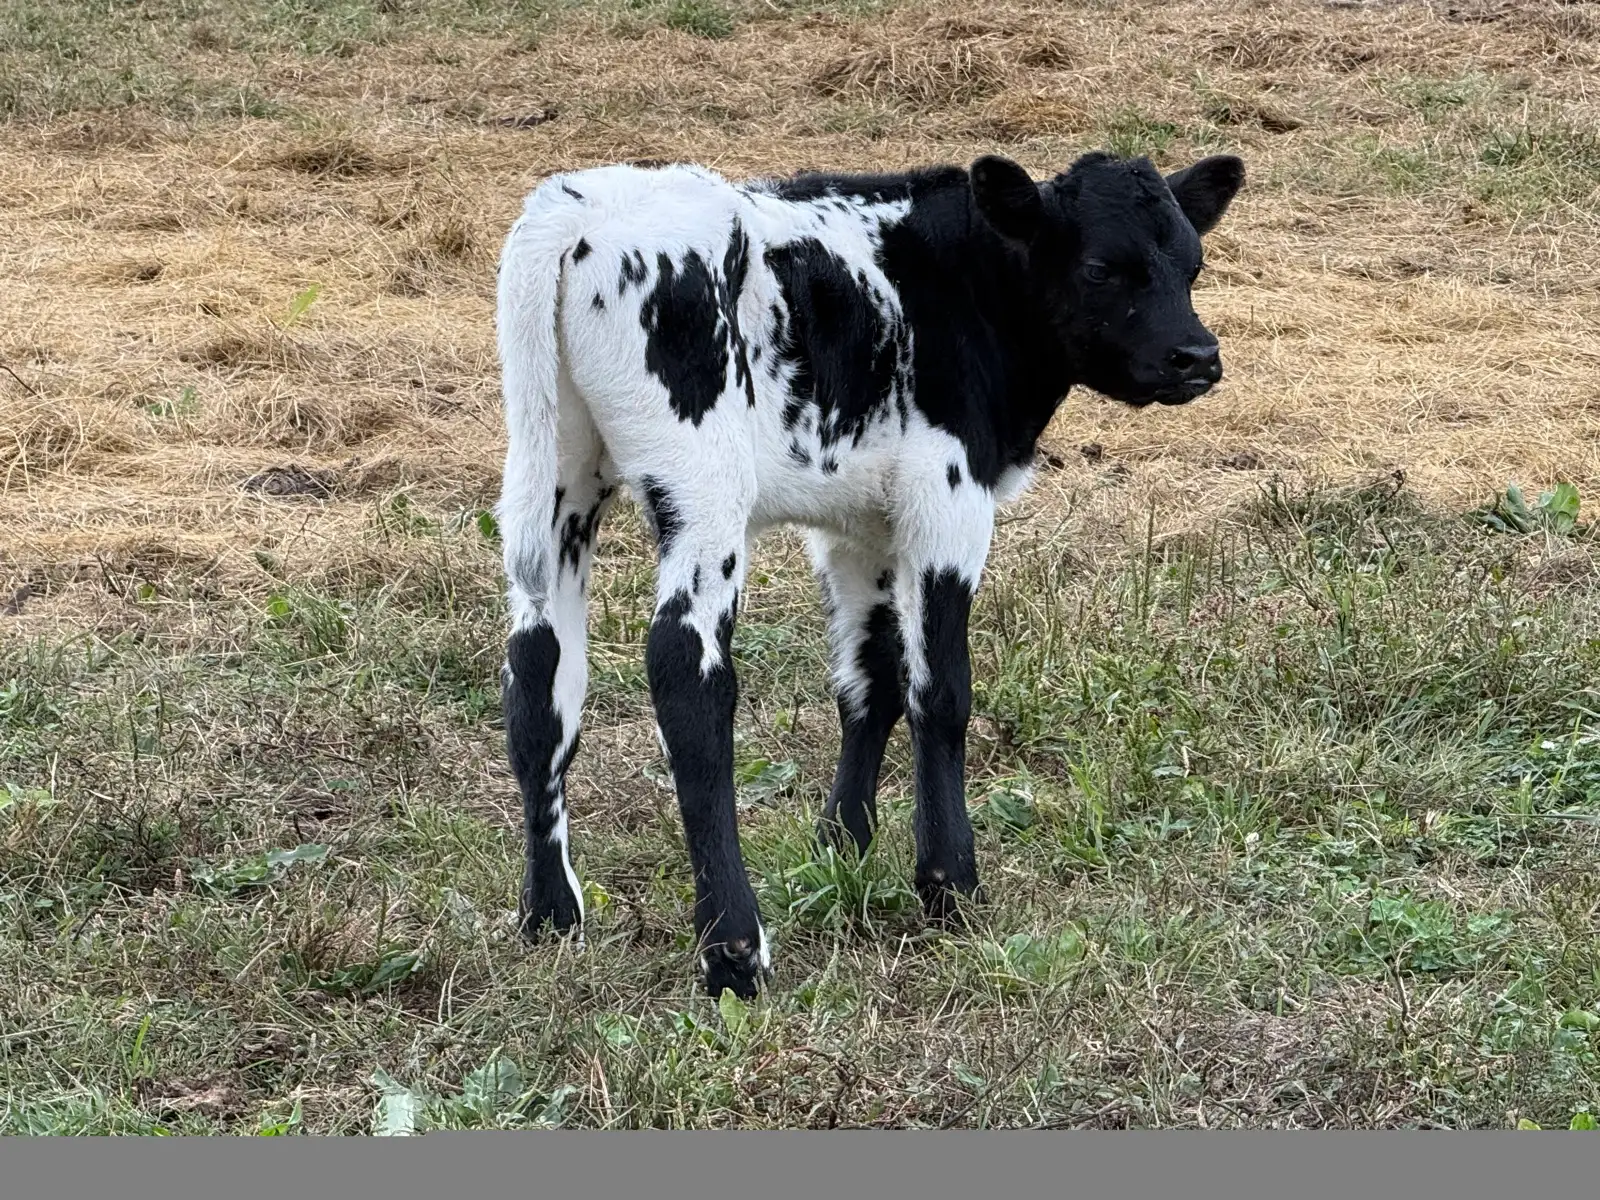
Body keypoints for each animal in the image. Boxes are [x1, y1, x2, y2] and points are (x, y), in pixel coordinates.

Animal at [494, 149, 1244, 999]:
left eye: (1193, 263)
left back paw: (551, 915)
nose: (1198, 357)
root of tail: (578, 205)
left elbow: (872, 679)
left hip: (557, 477)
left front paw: (842, 843)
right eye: (1099, 268)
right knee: (688, 675)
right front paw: (949, 881)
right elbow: (940, 689)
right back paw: (733, 949)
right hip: (703, 486)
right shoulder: (946, 496)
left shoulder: (859, 523)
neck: (955, 281)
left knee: (539, 676)